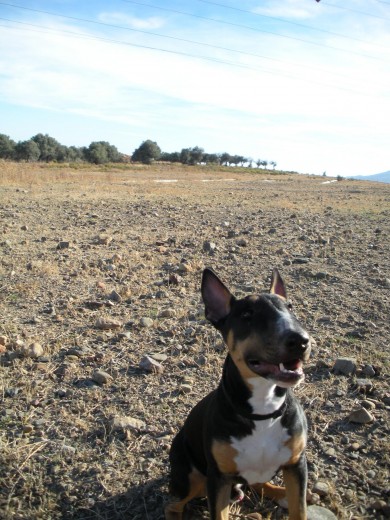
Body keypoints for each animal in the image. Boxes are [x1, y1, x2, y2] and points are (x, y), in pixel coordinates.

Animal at [166, 268, 312, 520]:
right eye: (247, 314)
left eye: (291, 307)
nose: (301, 341)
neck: (263, 409)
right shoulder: (218, 479)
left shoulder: (296, 465)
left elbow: (299, 510)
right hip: (190, 477)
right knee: (173, 505)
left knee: (259, 483)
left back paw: (283, 494)